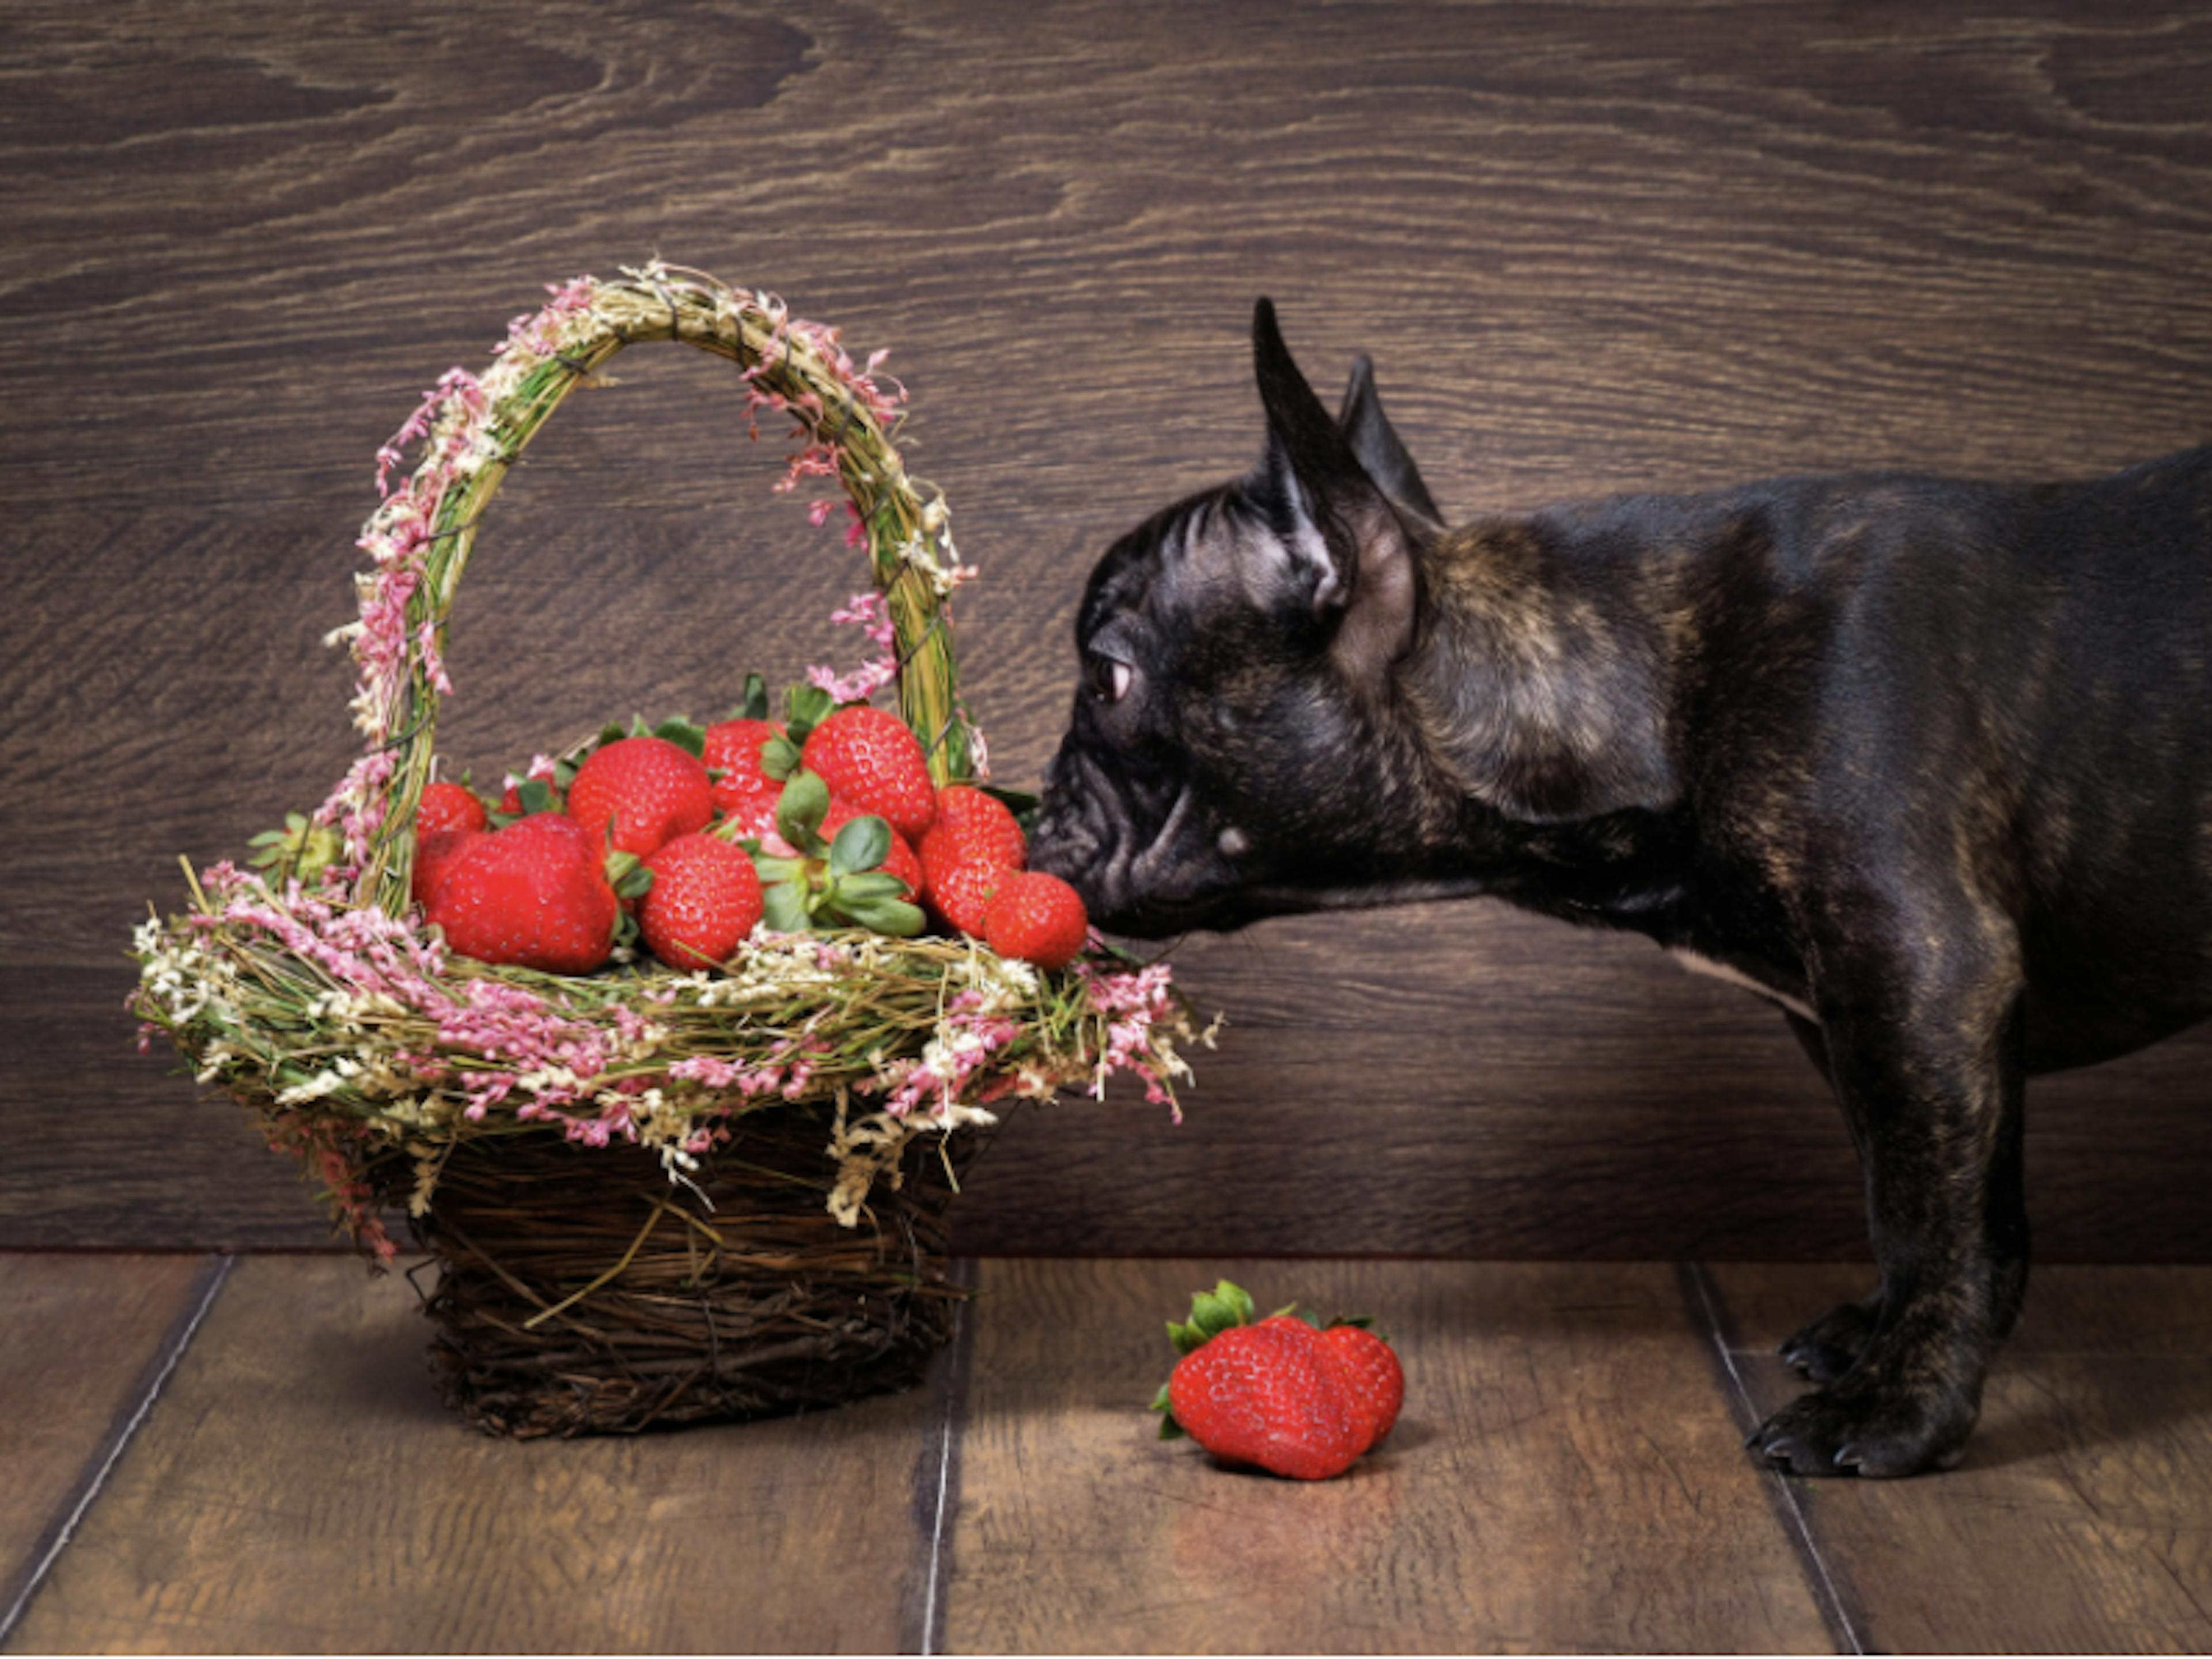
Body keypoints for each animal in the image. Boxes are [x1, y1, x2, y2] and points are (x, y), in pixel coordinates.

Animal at [1031, 298, 2212, 1478]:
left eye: (1108, 677)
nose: (1036, 806)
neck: (1637, 685)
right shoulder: (1872, 1026)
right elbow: (1931, 1191)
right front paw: (1888, 1342)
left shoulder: (1921, 986)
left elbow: (1931, 1212)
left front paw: (1899, 1408)